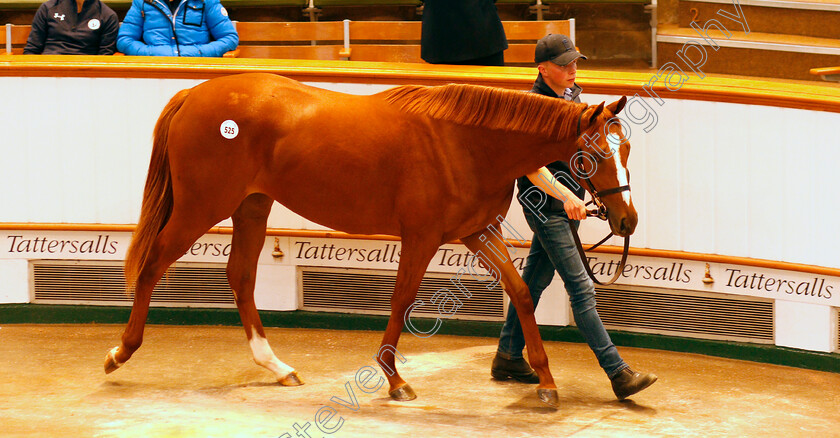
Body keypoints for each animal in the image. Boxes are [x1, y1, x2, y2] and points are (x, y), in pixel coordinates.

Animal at [103, 72, 632, 408]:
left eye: (625, 148)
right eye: (596, 152)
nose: (627, 220)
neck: (464, 142)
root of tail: (193, 94)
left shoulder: (477, 232)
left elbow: (521, 293)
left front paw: (546, 381)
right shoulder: (421, 236)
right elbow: (402, 301)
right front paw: (395, 380)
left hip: (251, 206)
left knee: (240, 278)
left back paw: (277, 367)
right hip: (202, 207)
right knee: (153, 263)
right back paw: (119, 352)